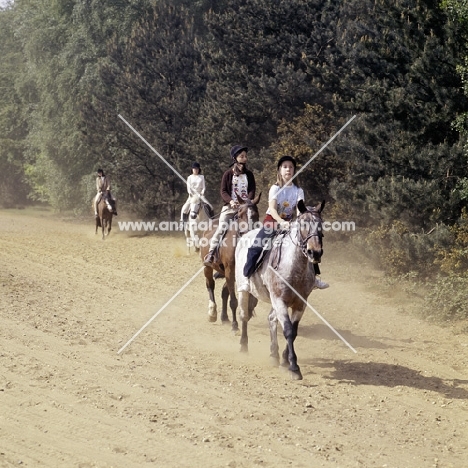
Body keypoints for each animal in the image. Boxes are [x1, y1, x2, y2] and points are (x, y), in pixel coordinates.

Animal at [199, 194, 262, 332]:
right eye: (240, 215)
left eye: (256, 215)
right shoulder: (230, 270)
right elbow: (234, 301)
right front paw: (235, 326)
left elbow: (252, 299)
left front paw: (247, 313)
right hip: (208, 268)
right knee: (210, 285)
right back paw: (212, 313)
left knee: (224, 291)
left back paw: (224, 318)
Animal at [234, 201, 326, 380]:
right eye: (303, 224)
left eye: (321, 225)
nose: (315, 252)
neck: (294, 269)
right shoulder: (280, 301)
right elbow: (288, 331)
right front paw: (294, 367)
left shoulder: (300, 304)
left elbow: (294, 331)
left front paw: (284, 360)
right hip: (244, 291)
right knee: (244, 316)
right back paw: (243, 346)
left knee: (271, 319)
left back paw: (274, 355)